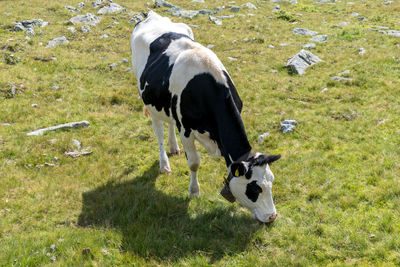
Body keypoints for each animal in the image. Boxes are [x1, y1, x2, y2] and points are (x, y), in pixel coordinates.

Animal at [131, 11, 282, 224]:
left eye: (272, 182)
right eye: (254, 189)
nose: (272, 216)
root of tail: (152, 15)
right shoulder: (186, 130)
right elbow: (194, 162)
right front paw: (194, 191)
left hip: (167, 105)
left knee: (170, 123)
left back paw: (173, 147)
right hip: (149, 102)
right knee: (158, 130)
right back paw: (164, 164)